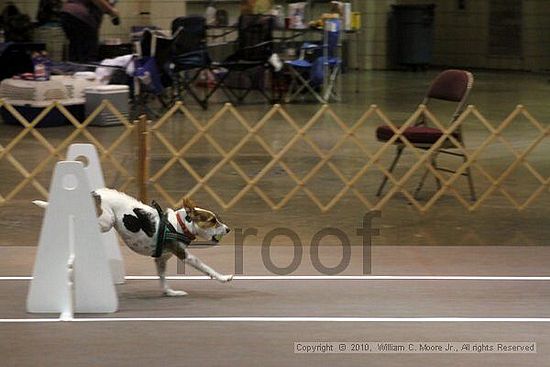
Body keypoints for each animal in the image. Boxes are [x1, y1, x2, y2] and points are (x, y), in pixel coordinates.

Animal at [34, 188, 233, 298]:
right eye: (213, 221)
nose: (228, 229)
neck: (179, 224)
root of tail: (93, 193)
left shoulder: (161, 259)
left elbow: (163, 279)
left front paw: (169, 293)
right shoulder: (185, 255)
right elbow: (206, 267)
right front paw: (224, 278)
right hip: (106, 221)